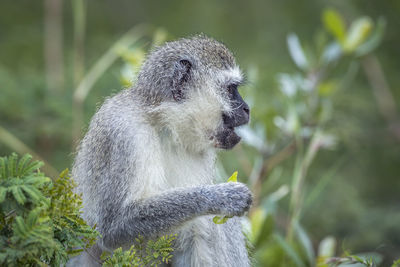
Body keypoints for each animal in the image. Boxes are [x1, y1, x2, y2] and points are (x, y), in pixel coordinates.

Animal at [68, 35, 250, 267]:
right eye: (230, 89)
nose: (247, 108)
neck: (165, 126)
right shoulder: (123, 134)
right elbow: (113, 226)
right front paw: (219, 197)